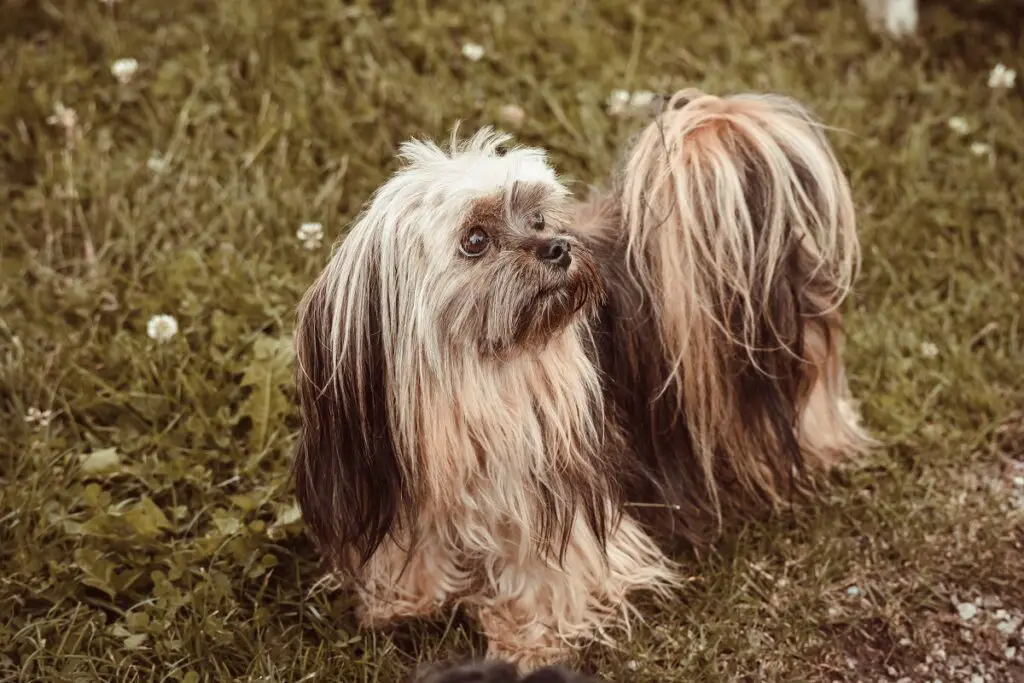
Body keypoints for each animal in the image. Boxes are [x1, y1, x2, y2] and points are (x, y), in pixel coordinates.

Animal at [294, 88, 872, 671]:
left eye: (538, 219)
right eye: (474, 239)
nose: (558, 248)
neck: (476, 382)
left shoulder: (558, 489)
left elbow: (548, 570)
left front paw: (525, 641)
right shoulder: (391, 481)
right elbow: (411, 551)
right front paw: (403, 601)